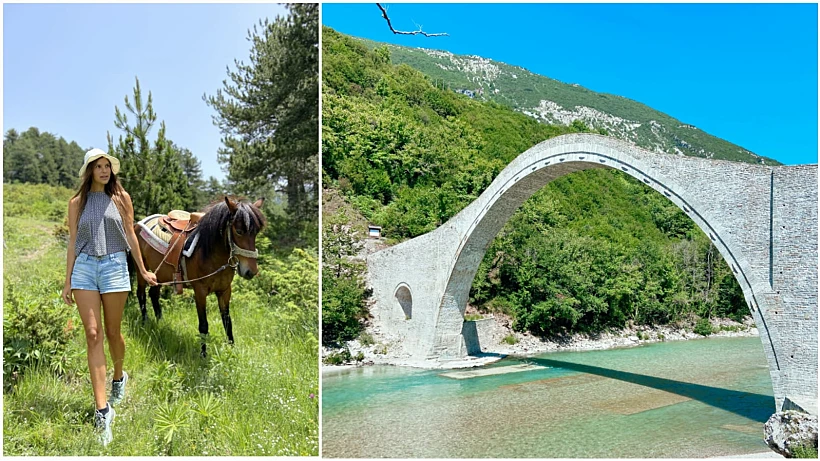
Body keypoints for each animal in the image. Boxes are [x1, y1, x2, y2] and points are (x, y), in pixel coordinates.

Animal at [133, 195, 264, 356]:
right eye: (239, 231)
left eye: (256, 232)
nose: (251, 271)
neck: (210, 254)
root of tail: (139, 223)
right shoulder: (200, 292)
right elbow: (203, 325)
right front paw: (203, 354)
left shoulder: (225, 291)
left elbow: (228, 322)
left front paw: (231, 350)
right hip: (142, 270)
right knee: (141, 294)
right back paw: (145, 322)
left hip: (161, 275)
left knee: (153, 294)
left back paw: (160, 323)